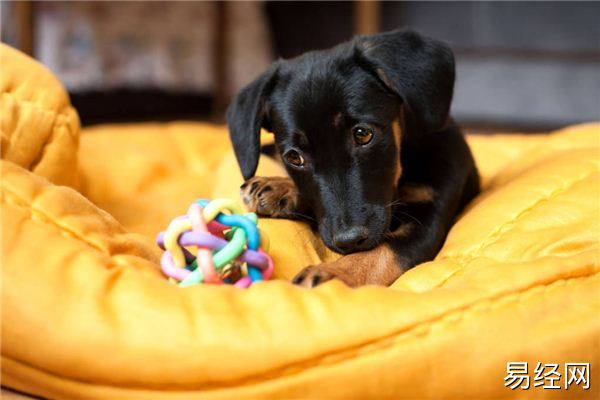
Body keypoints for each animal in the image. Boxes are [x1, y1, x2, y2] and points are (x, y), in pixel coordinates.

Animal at [227, 29, 480, 290]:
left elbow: (381, 252)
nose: (348, 241)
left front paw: (333, 272)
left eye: (363, 134)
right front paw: (281, 187)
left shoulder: (431, 211)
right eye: (294, 157)